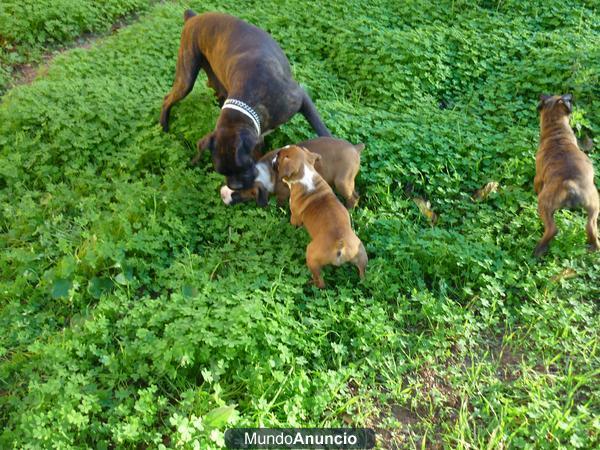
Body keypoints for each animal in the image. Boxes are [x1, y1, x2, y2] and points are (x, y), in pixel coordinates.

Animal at [159, 10, 332, 190]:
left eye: (245, 166)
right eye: (221, 171)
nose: (235, 186)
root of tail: (193, 17)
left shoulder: (302, 100)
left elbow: (323, 131)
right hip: (188, 76)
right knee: (168, 99)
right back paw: (164, 128)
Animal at [219, 136, 364, 208]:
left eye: (237, 193)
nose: (221, 193)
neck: (263, 172)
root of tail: (355, 148)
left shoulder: (282, 195)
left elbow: (279, 203)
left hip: (342, 182)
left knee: (353, 198)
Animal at [274, 147, 366, 288]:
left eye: (279, 156)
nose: (275, 154)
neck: (305, 175)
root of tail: (340, 243)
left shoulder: (294, 216)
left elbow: (293, 224)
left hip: (311, 256)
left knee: (320, 281)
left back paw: (312, 284)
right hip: (361, 253)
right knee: (362, 273)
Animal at [536, 93, 600, 256]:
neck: (557, 132)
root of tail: (571, 185)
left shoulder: (538, 177)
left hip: (544, 204)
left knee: (552, 229)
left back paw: (539, 250)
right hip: (594, 207)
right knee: (591, 228)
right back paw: (593, 248)